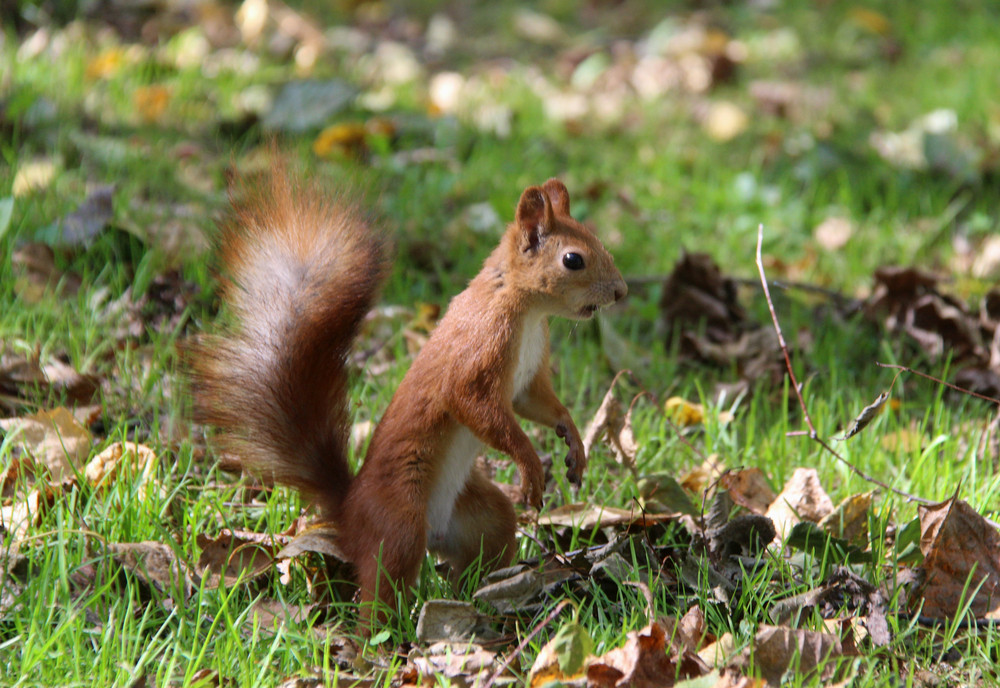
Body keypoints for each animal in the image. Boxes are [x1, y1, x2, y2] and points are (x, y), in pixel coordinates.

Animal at [190, 164, 624, 628]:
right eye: (573, 260)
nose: (621, 291)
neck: (523, 307)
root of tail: (349, 512)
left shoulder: (527, 379)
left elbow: (539, 404)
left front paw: (574, 442)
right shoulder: (478, 351)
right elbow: (477, 407)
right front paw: (529, 465)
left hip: (481, 518)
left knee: (481, 547)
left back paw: (481, 599)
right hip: (398, 520)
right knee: (383, 587)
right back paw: (384, 636)